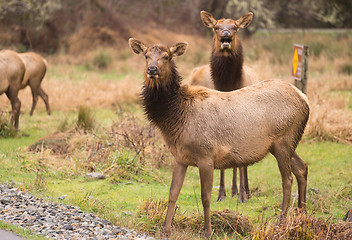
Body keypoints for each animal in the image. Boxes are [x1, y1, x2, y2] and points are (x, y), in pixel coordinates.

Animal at [129, 38, 308, 239]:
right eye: (146, 56)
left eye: (167, 56)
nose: (152, 69)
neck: (176, 117)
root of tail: (305, 98)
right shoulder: (179, 157)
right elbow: (173, 192)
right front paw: (165, 229)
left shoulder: (206, 155)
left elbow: (205, 196)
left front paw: (208, 230)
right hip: (285, 143)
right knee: (302, 168)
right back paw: (302, 217)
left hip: (284, 140)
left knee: (287, 180)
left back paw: (281, 223)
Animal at [190, 11, 262, 202]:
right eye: (216, 27)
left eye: (235, 27)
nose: (226, 36)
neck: (229, 86)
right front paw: (221, 193)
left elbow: (243, 162)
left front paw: (243, 196)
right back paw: (234, 190)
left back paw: (245, 191)